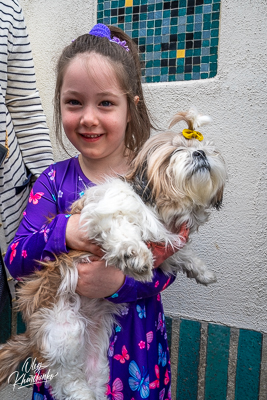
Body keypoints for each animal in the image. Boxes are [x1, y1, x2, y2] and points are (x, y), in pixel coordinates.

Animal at [0, 109, 227, 400]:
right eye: (176, 151)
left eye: (208, 149)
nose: (200, 153)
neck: (159, 207)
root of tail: (32, 334)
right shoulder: (103, 210)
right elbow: (120, 227)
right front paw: (135, 254)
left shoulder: (167, 242)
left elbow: (181, 253)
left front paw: (201, 270)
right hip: (62, 328)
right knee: (64, 378)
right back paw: (80, 393)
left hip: (95, 357)